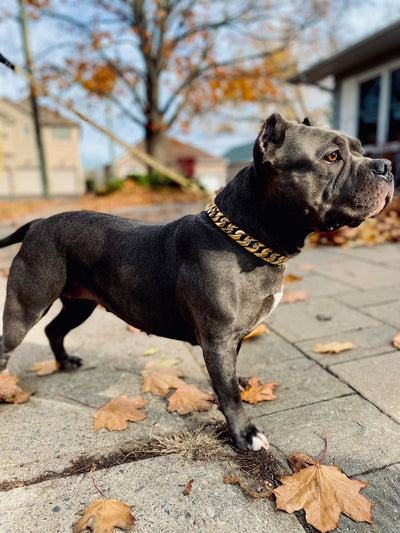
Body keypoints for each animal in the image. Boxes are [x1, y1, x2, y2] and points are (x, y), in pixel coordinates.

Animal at [0, 113, 392, 448]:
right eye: (332, 157)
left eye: (360, 149)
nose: (386, 166)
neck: (249, 238)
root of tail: (37, 223)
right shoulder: (217, 338)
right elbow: (229, 394)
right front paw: (245, 435)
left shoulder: (231, 336)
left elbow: (230, 377)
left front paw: (239, 383)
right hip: (26, 306)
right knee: (9, 343)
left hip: (80, 304)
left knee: (54, 330)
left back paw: (65, 362)